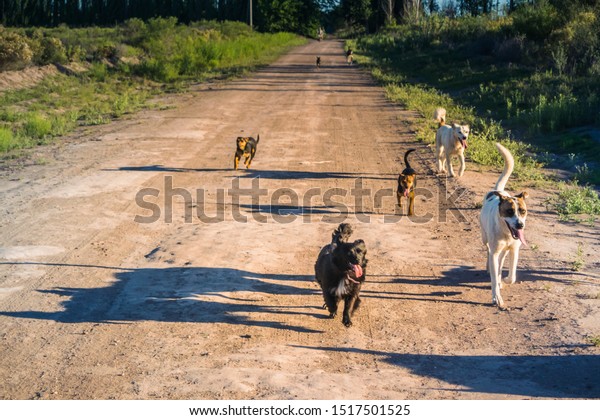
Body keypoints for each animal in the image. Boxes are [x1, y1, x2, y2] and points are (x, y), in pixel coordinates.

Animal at [480, 143, 528, 310]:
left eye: (522, 211)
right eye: (509, 211)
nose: (520, 225)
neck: (506, 232)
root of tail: (499, 191)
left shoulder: (514, 250)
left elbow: (512, 276)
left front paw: (505, 280)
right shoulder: (494, 251)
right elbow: (494, 277)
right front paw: (497, 298)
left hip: (505, 249)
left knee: (501, 259)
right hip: (484, 238)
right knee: (488, 251)